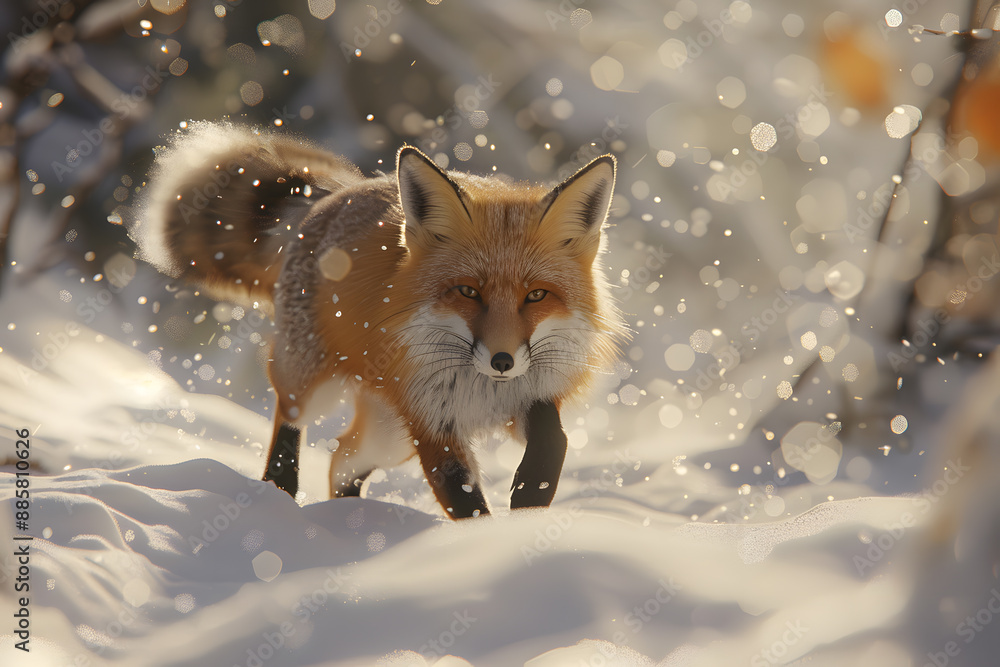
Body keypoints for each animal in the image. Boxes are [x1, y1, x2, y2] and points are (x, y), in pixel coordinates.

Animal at [134, 121, 627, 519]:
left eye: (536, 295)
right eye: (468, 292)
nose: (502, 361)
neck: (483, 389)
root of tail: (341, 194)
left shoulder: (531, 394)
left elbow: (554, 440)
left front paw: (529, 498)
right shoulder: (431, 423)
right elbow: (463, 498)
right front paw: (481, 544)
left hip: (390, 438)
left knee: (342, 457)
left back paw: (351, 521)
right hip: (316, 384)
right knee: (291, 418)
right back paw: (281, 495)